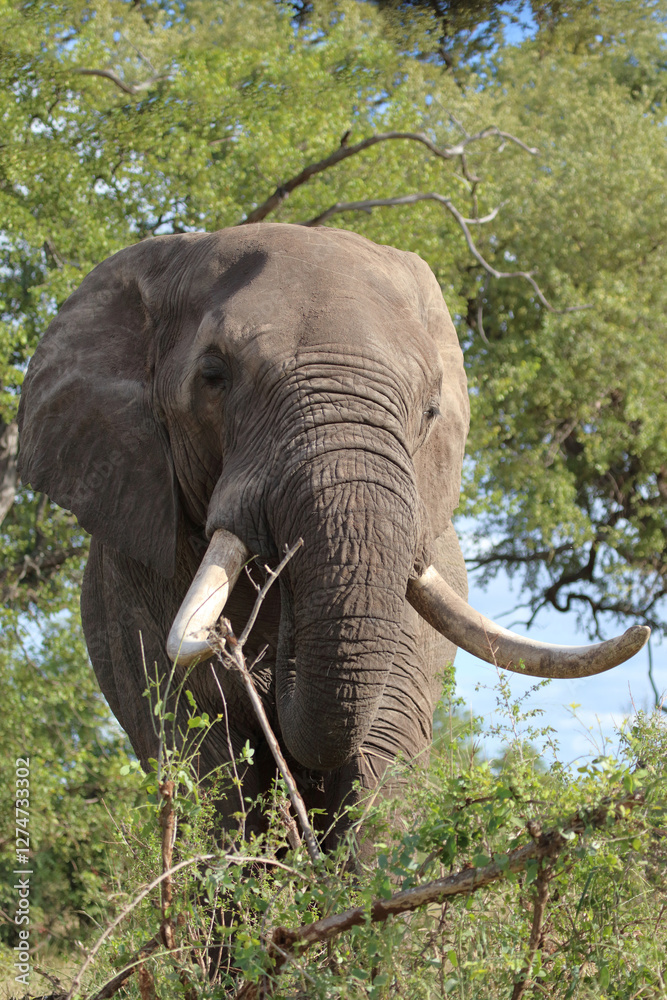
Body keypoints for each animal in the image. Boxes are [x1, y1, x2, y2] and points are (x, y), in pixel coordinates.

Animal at [18, 223, 649, 849]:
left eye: (430, 410)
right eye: (214, 376)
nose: (284, 577)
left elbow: (380, 755)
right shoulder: (138, 568)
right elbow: (207, 763)